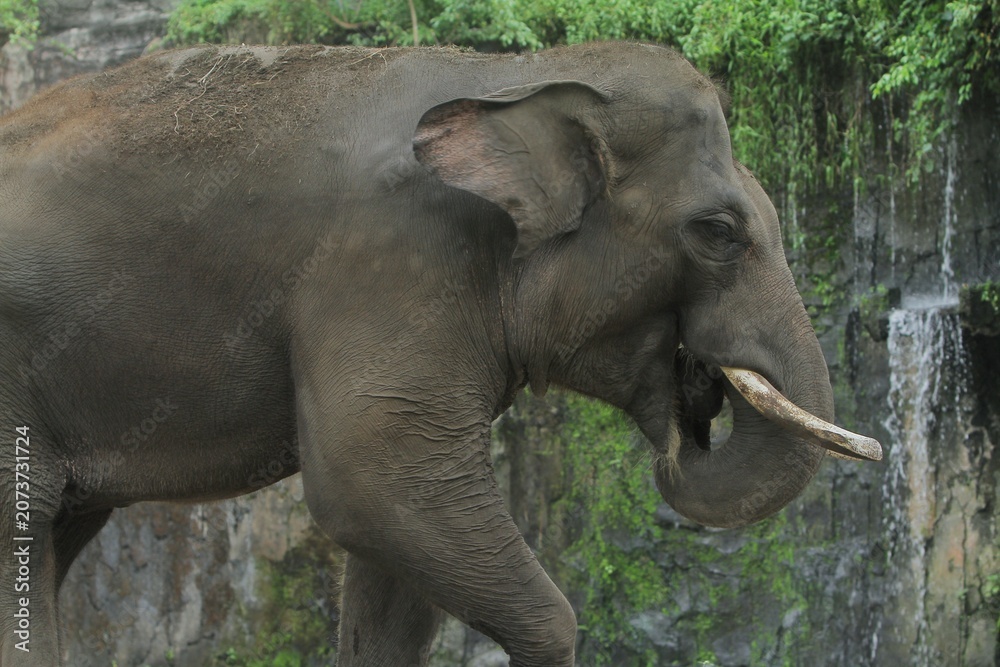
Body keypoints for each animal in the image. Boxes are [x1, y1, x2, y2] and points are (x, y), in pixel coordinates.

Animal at [0, 41, 880, 666]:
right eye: (719, 232)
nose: (693, 406)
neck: (511, 77)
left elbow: (394, 562)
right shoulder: (391, 262)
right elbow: (374, 482)